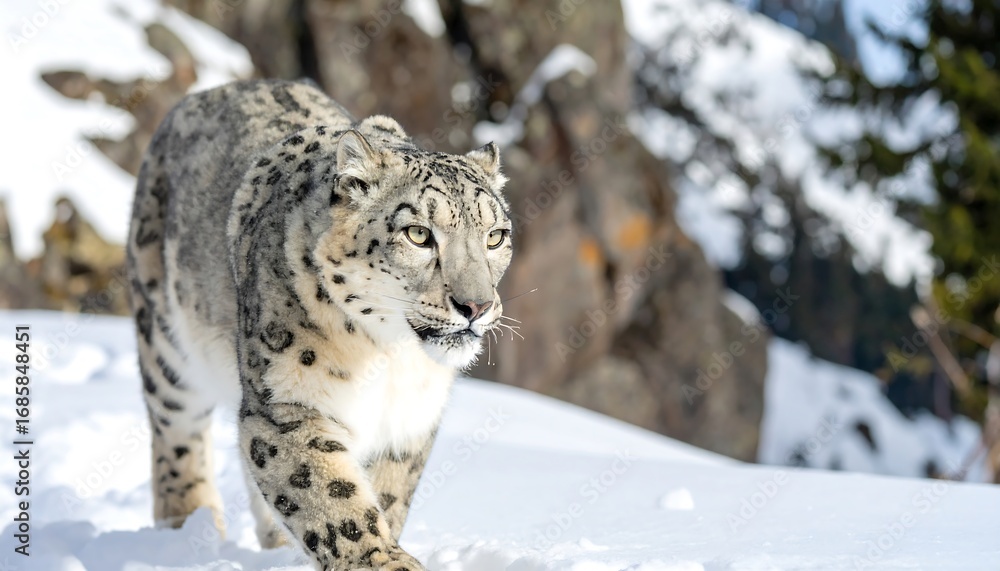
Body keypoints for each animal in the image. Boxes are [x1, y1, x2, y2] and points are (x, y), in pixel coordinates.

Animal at [126, 79, 512, 570]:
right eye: (418, 234)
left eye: (495, 236)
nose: (476, 305)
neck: (391, 357)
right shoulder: (287, 405)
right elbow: (332, 500)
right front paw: (385, 561)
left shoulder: (409, 422)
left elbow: (385, 494)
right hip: (166, 344)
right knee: (176, 435)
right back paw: (184, 529)